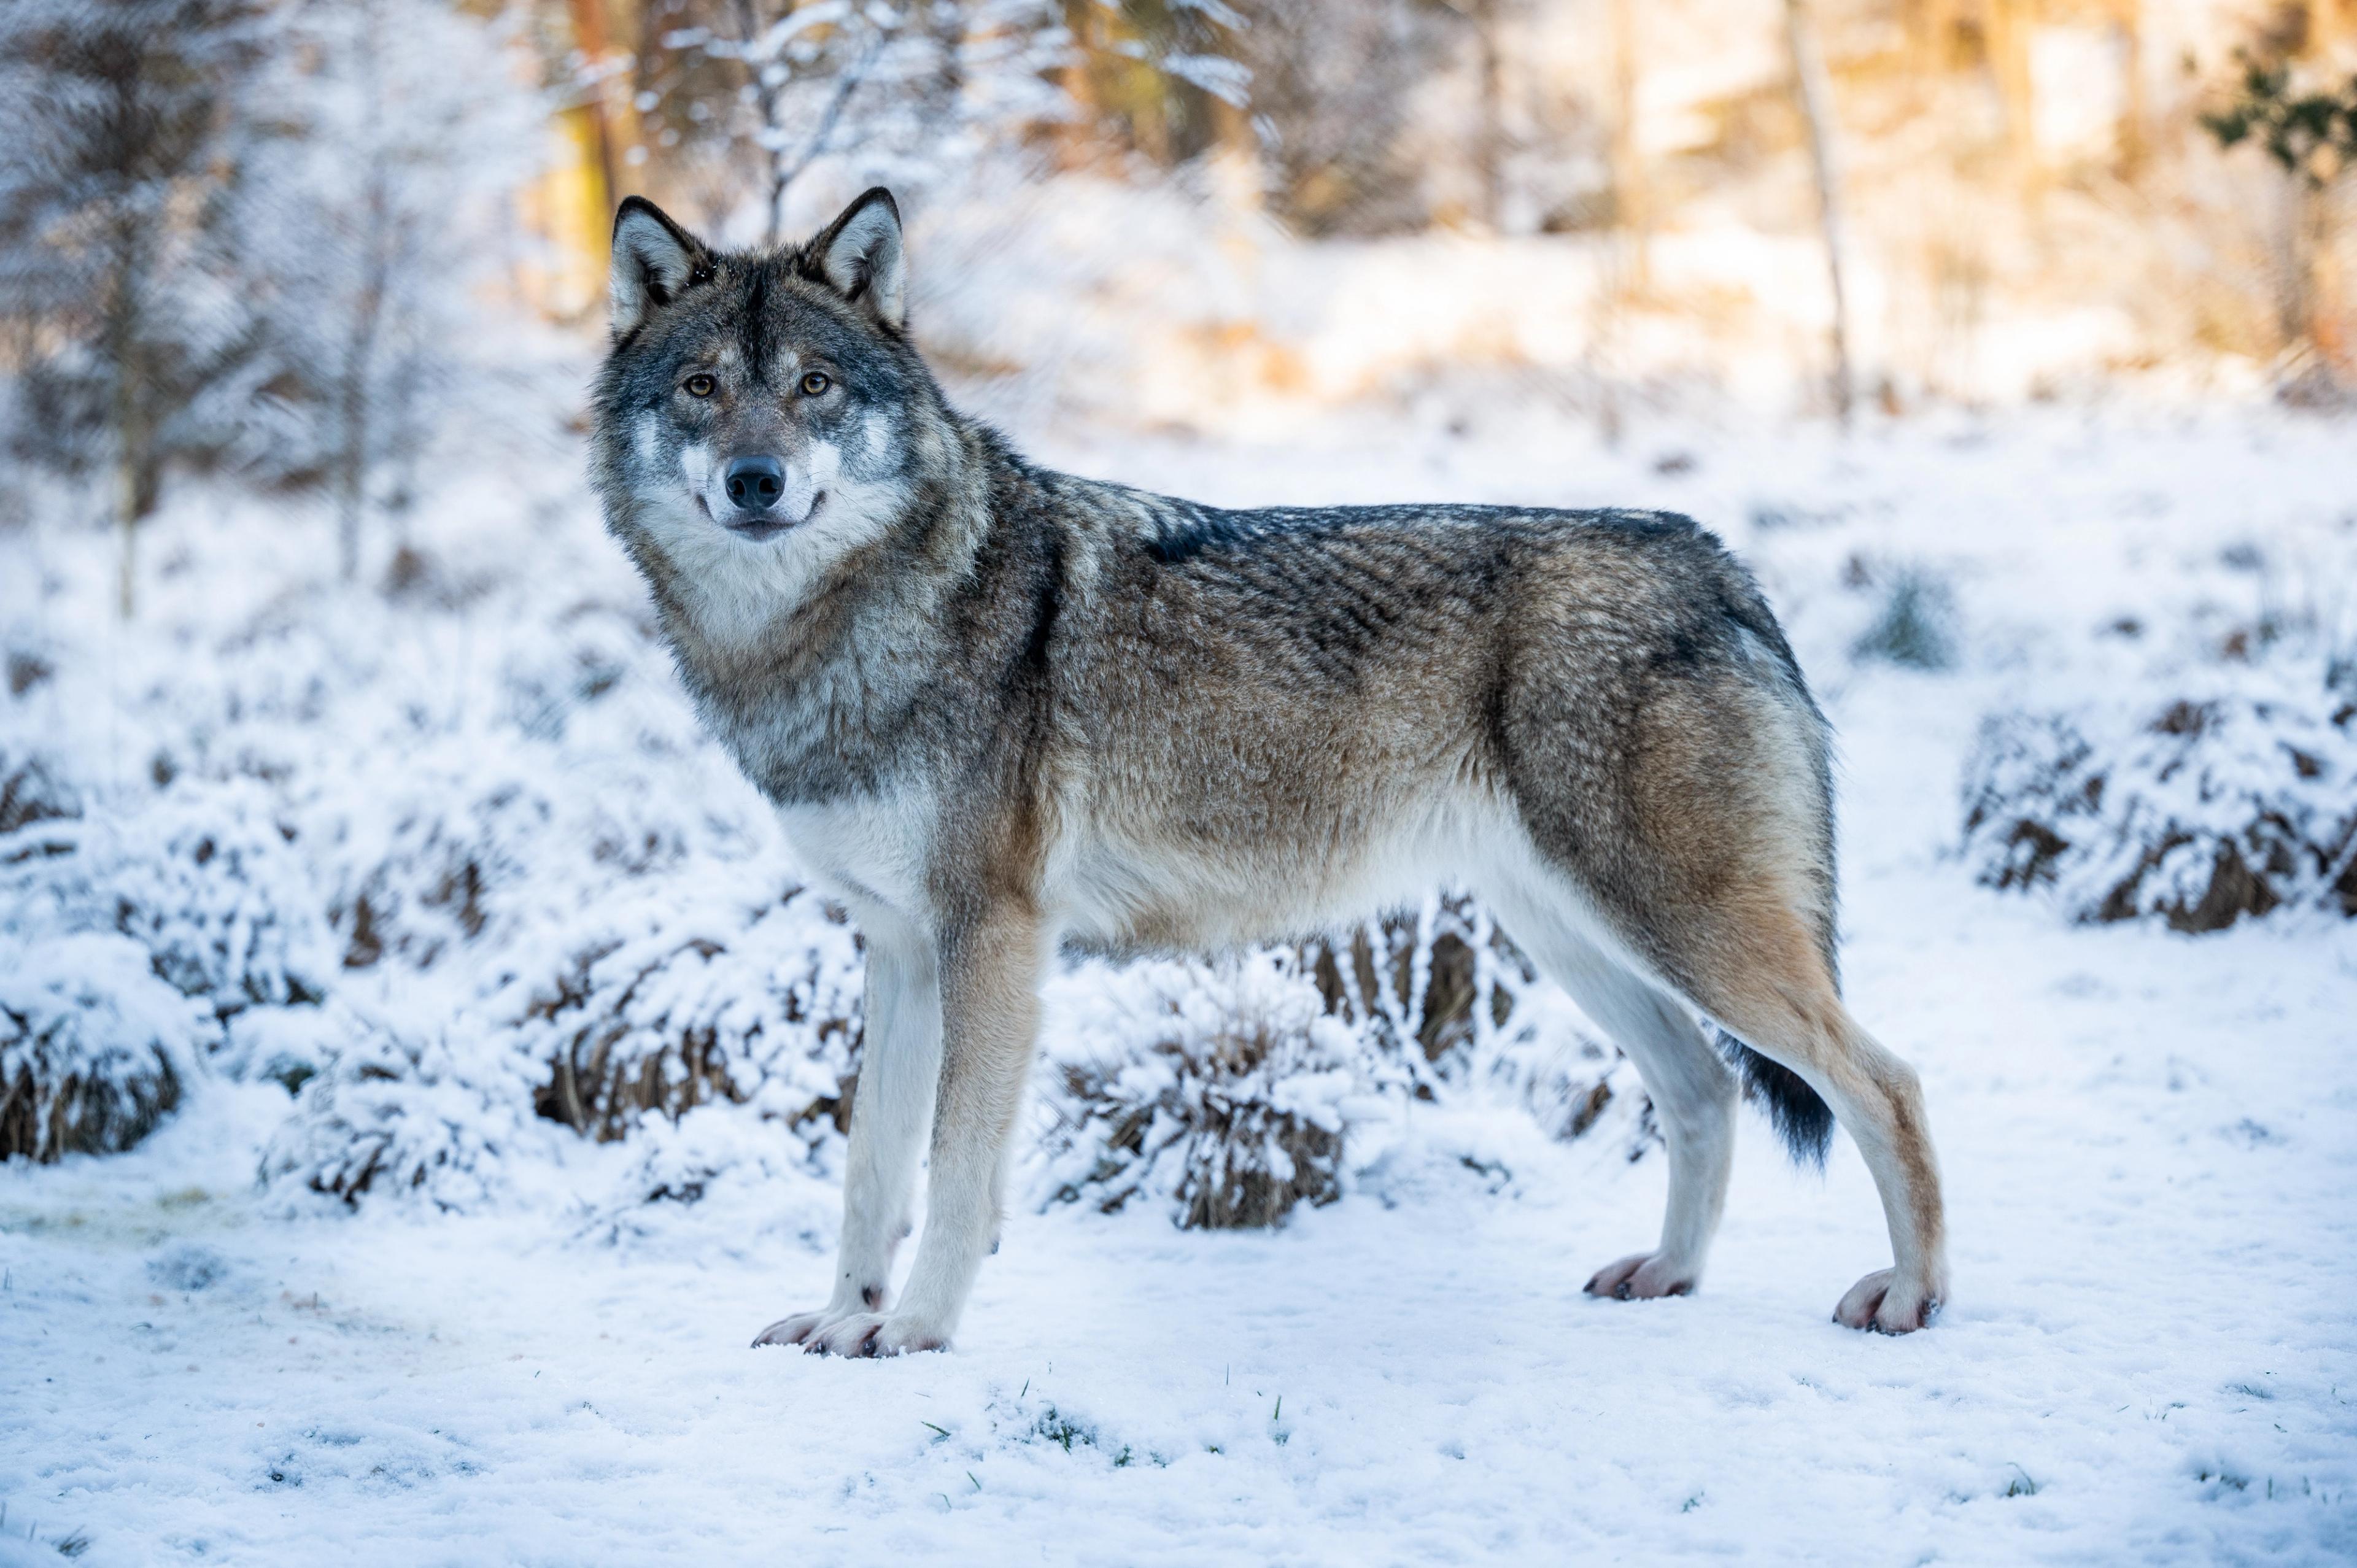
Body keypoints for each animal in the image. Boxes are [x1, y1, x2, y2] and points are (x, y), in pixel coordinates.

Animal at [590, 188, 1949, 1356]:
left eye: (813, 387)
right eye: (703, 388)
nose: (754, 482)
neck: (839, 630)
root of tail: (1711, 555)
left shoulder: (993, 937)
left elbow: (955, 1166)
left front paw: (914, 1329)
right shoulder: (895, 945)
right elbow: (869, 1168)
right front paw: (840, 1317)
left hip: (1674, 926)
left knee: (1886, 1079)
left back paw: (1912, 1294)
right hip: (1575, 934)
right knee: (1708, 1090)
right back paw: (1669, 1275)